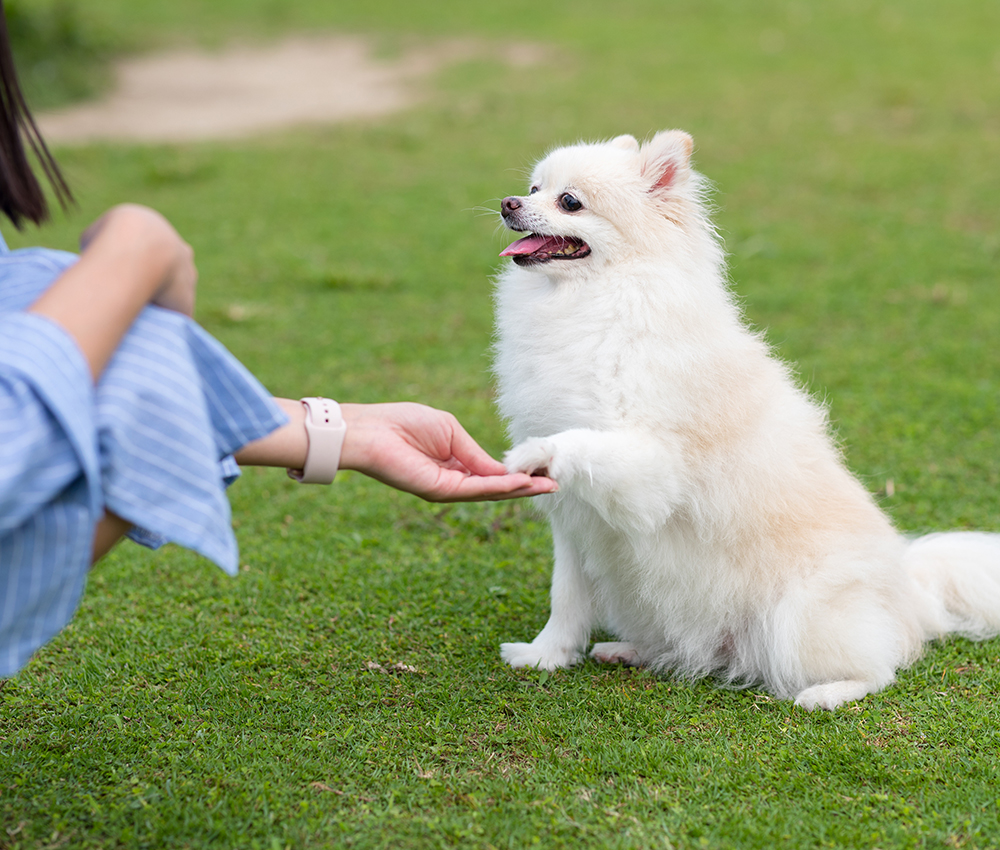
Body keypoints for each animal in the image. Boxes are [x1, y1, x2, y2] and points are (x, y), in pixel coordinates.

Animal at [490, 129, 1000, 704]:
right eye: (534, 187)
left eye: (570, 202)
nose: (509, 203)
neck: (592, 303)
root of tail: (911, 590)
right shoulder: (575, 523)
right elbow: (567, 598)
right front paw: (546, 655)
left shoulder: (650, 468)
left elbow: (584, 442)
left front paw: (535, 452)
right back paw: (630, 650)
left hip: (800, 617)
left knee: (882, 666)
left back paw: (827, 694)